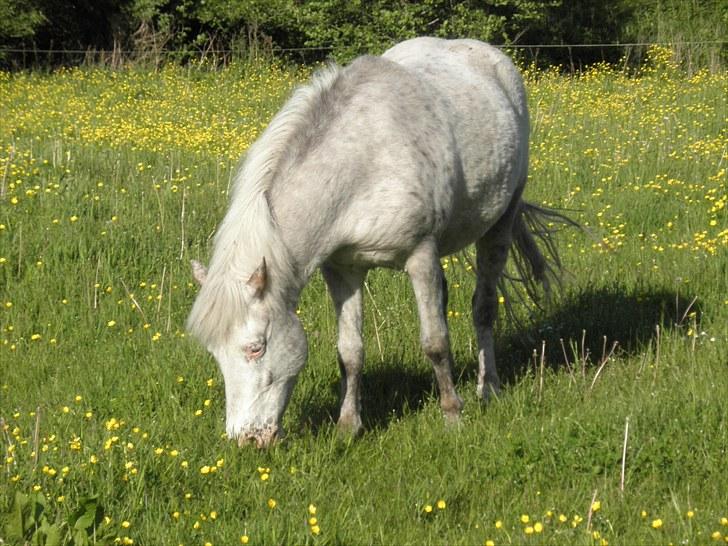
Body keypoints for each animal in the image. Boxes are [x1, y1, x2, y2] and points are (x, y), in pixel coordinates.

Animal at [186, 38, 564, 446]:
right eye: (214, 352)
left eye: (255, 348)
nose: (247, 439)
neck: (362, 162)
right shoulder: (343, 270)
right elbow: (350, 351)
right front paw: (348, 426)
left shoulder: (420, 256)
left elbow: (435, 342)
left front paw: (452, 416)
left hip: (500, 222)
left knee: (484, 308)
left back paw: (488, 388)